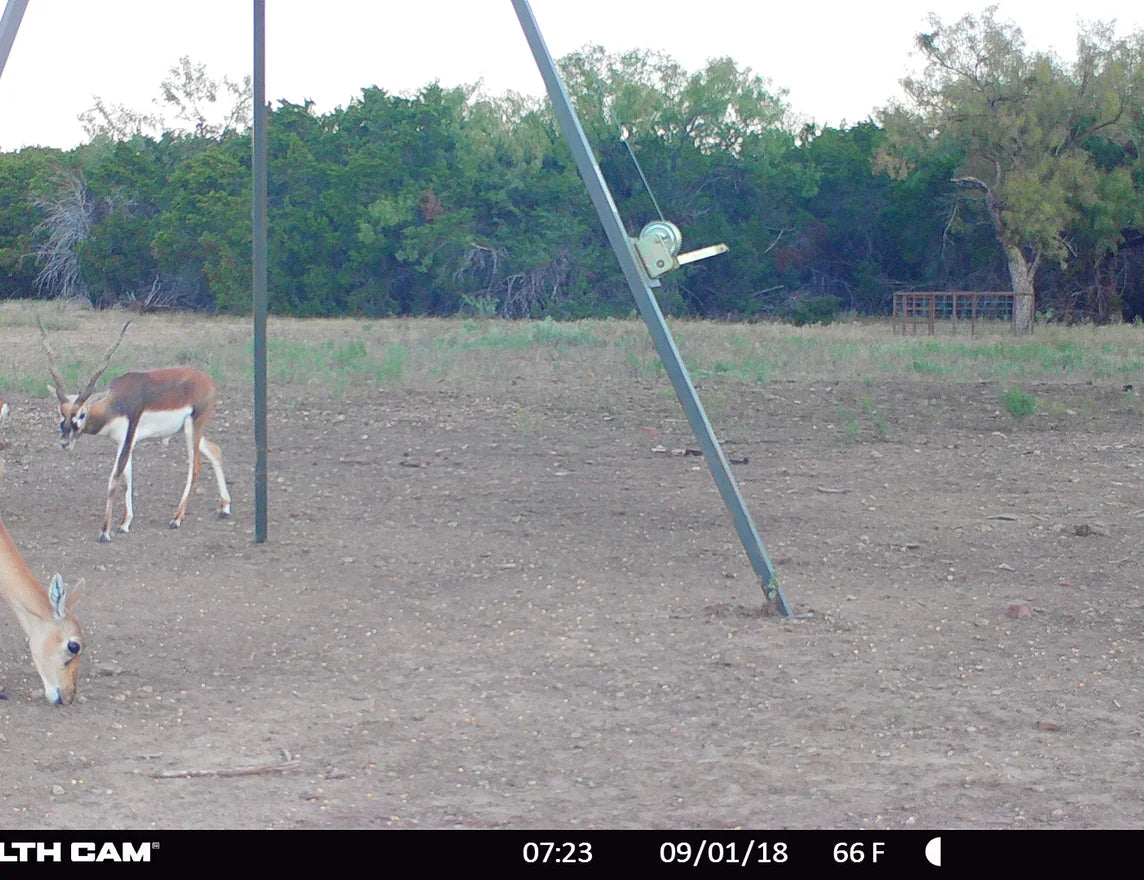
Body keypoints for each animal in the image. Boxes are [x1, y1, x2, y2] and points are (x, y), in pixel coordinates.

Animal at [39, 319, 231, 542]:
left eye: (81, 414)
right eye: (60, 413)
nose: (65, 441)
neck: (116, 403)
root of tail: (209, 380)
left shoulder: (129, 436)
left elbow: (114, 479)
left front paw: (105, 532)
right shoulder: (124, 442)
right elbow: (127, 479)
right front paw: (124, 524)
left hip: (194, 427)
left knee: (196, 467)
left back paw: (176, 519)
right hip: (189, 431)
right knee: (215, 450)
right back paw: (224, 508)